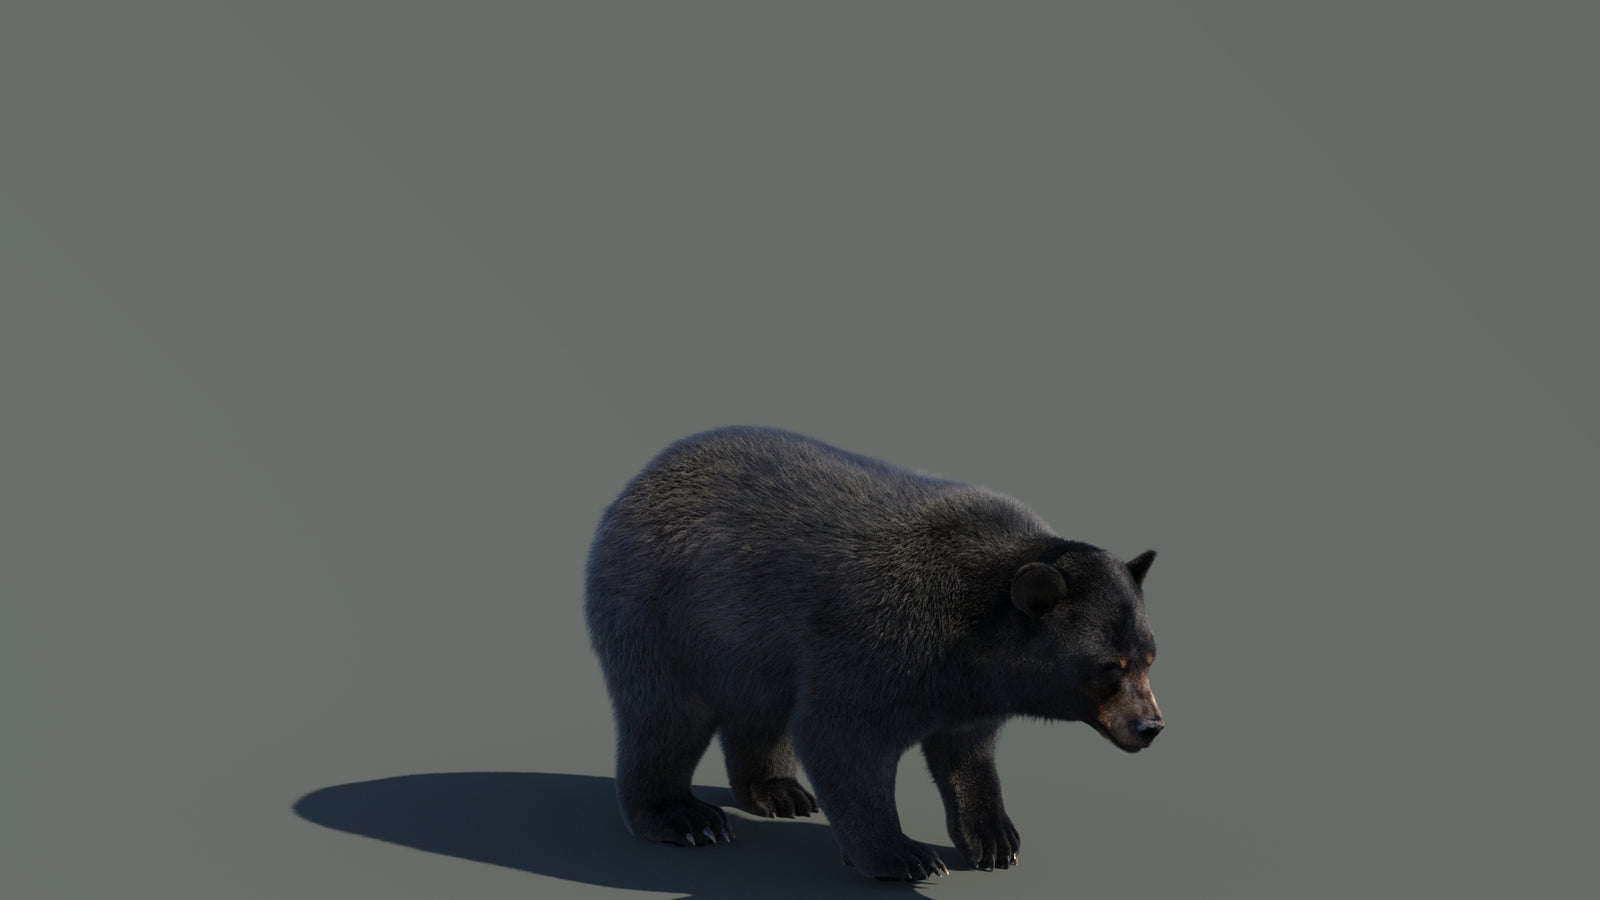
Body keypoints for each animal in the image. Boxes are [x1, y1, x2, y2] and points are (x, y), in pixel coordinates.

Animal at [584, 426, 1163, 881]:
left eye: (1150, 657)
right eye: (1108, 666)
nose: (1151, 726)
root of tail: (641, 478)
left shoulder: (970, 690)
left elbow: (966, 750)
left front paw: (995, 838)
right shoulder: (884, 637)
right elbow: (843, 738)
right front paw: (904, 855)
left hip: (746, 646)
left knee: (759, 710)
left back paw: (779, 792)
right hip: (661, 614)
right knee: (664, 715)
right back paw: (683, 816)